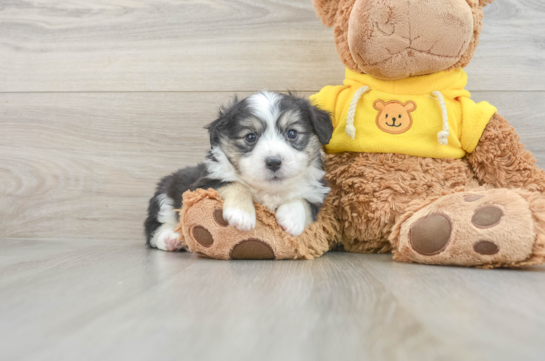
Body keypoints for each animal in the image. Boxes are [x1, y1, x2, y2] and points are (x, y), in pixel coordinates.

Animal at [143, 91, 332, 252]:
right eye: (250, 137)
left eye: (292, 133)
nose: (273, 162)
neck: (268, 190)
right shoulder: (203, 184)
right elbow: (235, 184)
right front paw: (241, 214)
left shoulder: (317, 193)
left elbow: (304, 200)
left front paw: (292, 219)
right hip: (164, 197)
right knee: (153, 228)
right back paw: (171, 239)